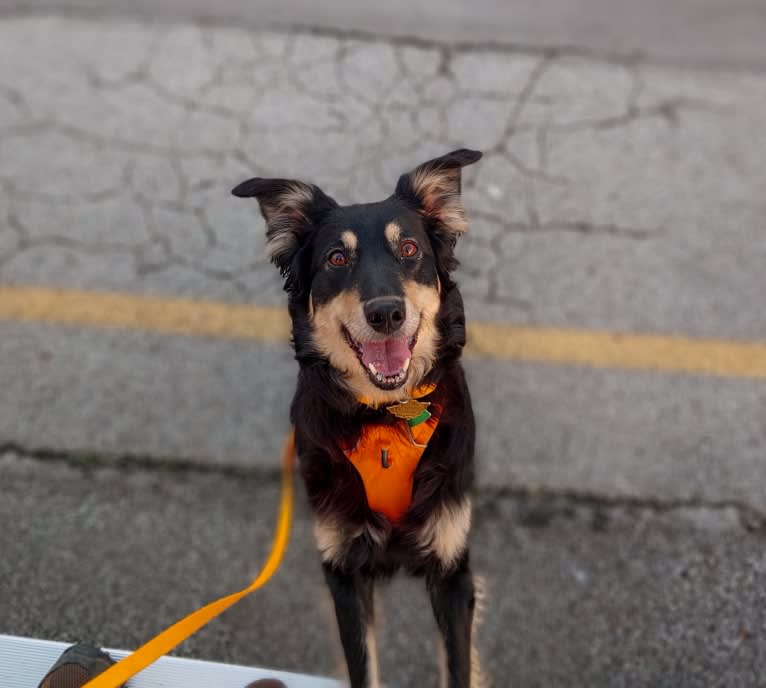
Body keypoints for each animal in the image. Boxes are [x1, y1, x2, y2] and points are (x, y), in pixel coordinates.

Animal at [236, 150, 486, 688]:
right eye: (336, 258)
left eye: (409, 248)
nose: (387, 313)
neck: (385, 416)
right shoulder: (344, 568)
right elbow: (362, 666)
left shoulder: (452, 568)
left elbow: (457, 667)